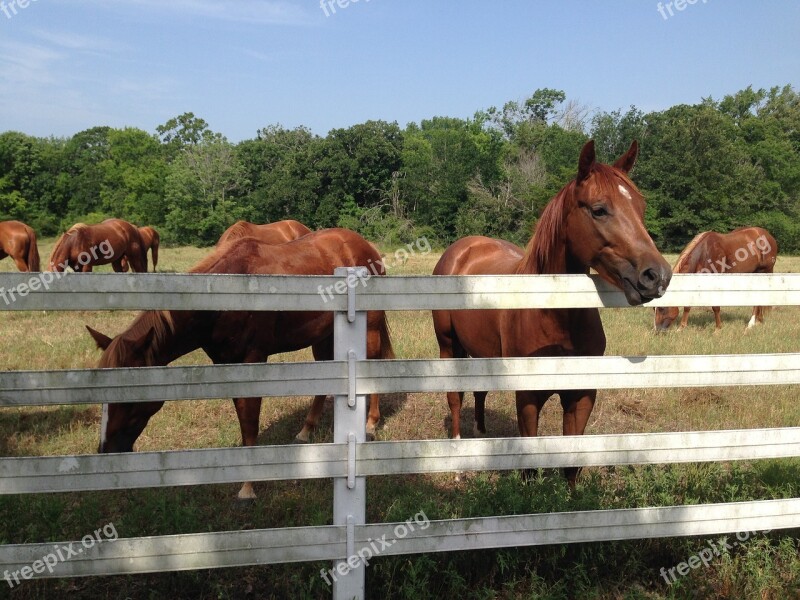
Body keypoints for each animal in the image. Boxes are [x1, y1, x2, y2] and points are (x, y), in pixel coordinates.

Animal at [86, 227, 396, 500]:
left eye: (128, 395)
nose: (106, 451)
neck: (225, 298)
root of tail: (365, 246)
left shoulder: (252, 360)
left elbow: (249, 424)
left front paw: (248, 487)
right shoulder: (229, 365)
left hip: (369, 328)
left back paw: (370, 423)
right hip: (323, 335)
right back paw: (306, 429)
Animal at [434, 142, 672, 488]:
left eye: (640, 207)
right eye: (599, 209)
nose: (657, 275)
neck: (555, 315)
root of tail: (462, 249)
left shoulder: (581, 396)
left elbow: (571, 465)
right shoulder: (528, 396)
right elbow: (530, 467)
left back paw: (480, 434)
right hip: (448, 346)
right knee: (455, 397)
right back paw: (457, 458)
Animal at [652, 226, 780, 330]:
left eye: (662, 308)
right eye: (653, 308)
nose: (656, 330)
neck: (704, 252)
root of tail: (768, 236)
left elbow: (715, 306)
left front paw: (718, 329)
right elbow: (688, 305)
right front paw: (681, 327)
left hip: (763, 272)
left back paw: (751, 323)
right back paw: (759, 320)